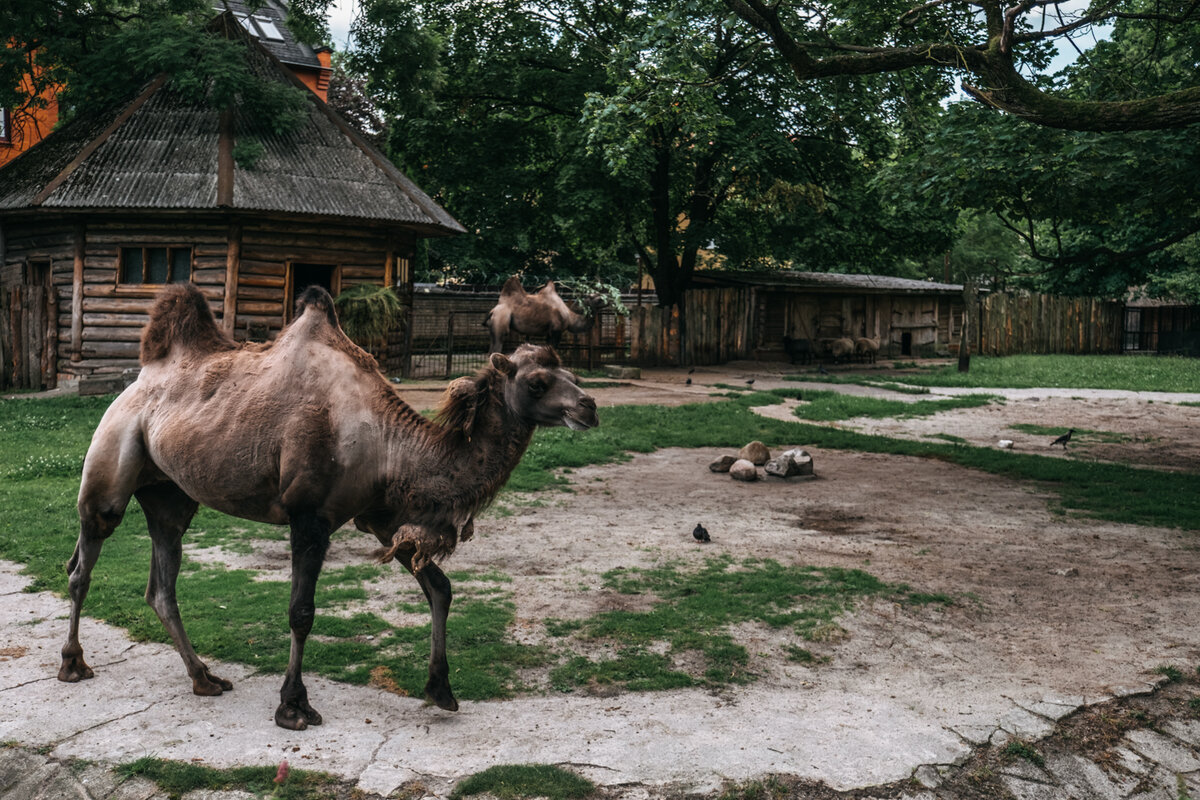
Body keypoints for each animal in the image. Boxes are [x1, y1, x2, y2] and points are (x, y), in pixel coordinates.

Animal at [60, 283, 595, 734]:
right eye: (539, 382)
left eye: (571, 373)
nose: (588, 406)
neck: (386, 442)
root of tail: (138, 381)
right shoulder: (310, 515)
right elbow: (302, 611)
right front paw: (294, 706)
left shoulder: (383, 517)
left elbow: (440, 589)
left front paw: (441, 689)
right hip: (112, 455)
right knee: (84, 561)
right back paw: (73, 664)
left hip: (170, 491)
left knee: (162, 582)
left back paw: (204, 678)